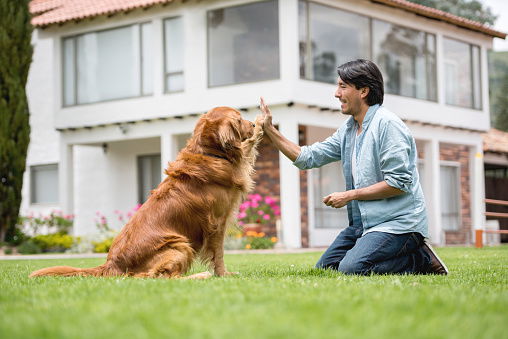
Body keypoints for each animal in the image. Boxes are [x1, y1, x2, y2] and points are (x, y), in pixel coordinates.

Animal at [30, 107, 266, 280]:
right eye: (239, 119)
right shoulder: (216, 223)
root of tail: (111, 264)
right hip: (179, 245)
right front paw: (224, 274)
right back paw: (200, 276)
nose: (253, 124)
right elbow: (219, 254)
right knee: (158, 277)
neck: (209, 153)